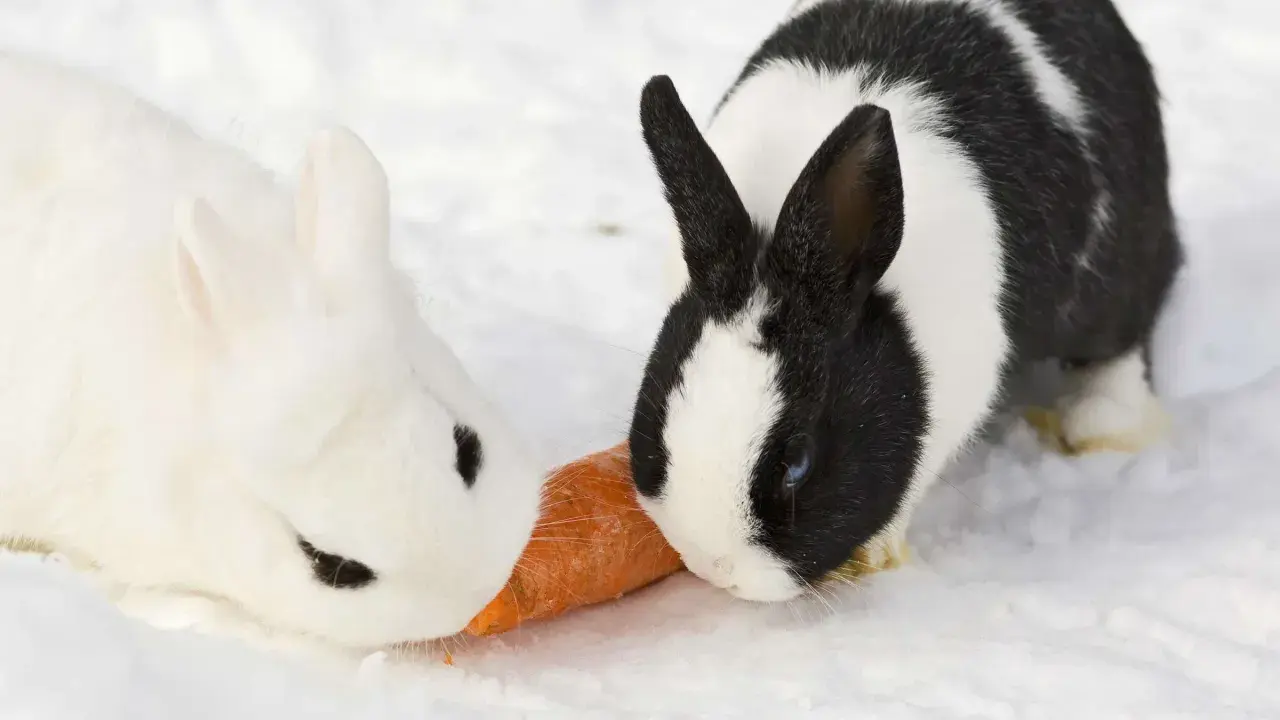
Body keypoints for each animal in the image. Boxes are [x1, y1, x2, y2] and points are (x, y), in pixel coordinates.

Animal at [628, 0, 1183, 602]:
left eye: (796, 462)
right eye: (655, 412)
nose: (716, 569)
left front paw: (872, 556)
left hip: (1119, 262)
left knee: (1124, 335)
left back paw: (1102, 428)